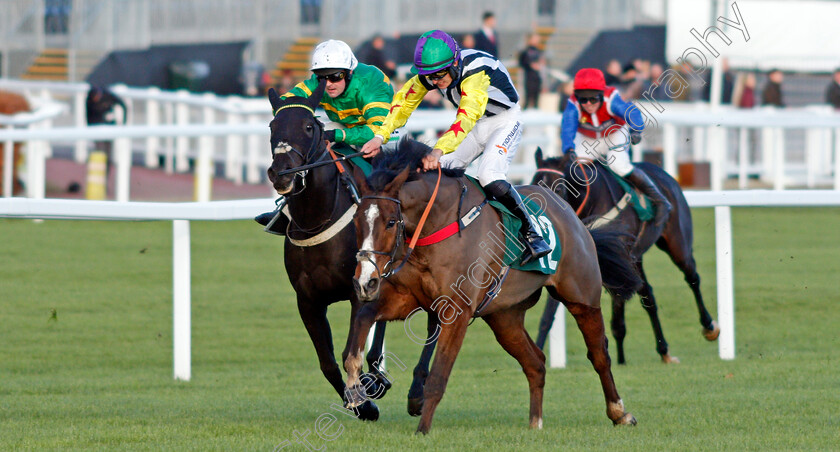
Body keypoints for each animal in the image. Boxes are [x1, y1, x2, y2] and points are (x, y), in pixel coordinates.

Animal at [266, 83, 440, 418]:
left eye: (309, 127)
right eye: (272, 126)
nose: (281, 174)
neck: (317, 218)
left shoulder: (356, 289)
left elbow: (351, 346)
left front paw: (366, 394)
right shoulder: (308, 300)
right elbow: (327, 362)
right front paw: (362, 404)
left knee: (435, 322)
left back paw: (416, 391)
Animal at [340, 141, 636, 434]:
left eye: (391, 222)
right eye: (356, 221)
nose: (365, 281)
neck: (437, 223)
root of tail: (571, 215)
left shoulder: (456, 311)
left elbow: (438, 377)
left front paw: (422, 429)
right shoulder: (408, 298)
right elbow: (363, 322)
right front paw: (355, 387)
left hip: (582, 298)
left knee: (599, 355)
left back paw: (620, 412)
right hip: (505, 318)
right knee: (536, 363)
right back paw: (535, 422)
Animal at [536, 150, 720, 366]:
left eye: (557, 188)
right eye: (533, 184)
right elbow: (549, 314)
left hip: (678, 244)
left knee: (692, 278)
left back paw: (709, 327)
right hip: (637, 258)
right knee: (648, 296)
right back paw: (663, 350)